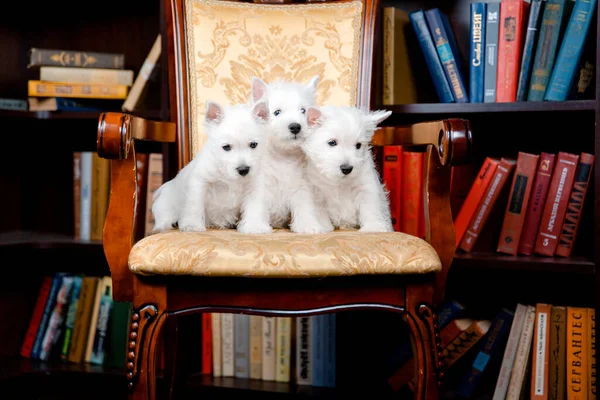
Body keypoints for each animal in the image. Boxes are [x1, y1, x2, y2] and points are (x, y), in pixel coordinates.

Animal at [151, 98, 268, 233]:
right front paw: (192, 225)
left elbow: (255, 207)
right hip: (164, 205)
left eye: (253, 144)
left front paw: (255, 226)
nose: (243, 170)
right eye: (226, 147)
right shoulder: (200, 183)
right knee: (163, 218)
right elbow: (195, 205)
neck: (228, 176)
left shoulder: (253, 187)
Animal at [237, 76, 330, 234]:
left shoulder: (301, 184)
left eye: (303, 110)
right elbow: (257, 205)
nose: (295, 127)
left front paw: (308, 226)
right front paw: (256, 226)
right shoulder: (261, 184)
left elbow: (304, 206)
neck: (283, 155)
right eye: (277, 112)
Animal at [302, 104, 396, 233]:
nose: (347, 169)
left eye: (358, 145)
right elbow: (320, 212)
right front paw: (324, 227)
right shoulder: (316, 191)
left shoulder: (366, 187)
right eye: (332, 142)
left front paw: (373, 227)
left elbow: (370, 207)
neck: (338, 181)